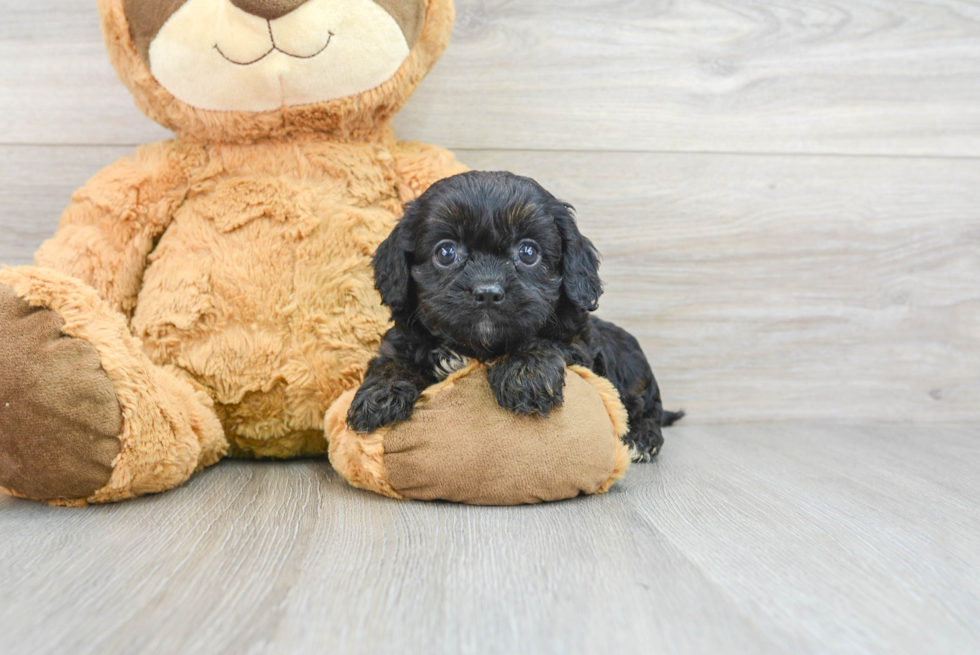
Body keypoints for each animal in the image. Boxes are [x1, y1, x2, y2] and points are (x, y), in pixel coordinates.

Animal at [346, 172, 680, 464]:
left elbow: (544, 341)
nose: (487, 292)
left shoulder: (579, 342)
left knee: (644, 412)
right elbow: (392, 361)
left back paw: (641, 439)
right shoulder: (403, 340)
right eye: (446, 253)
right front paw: (380, 395)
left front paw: (525, 375)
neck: (476, 348)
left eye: (528, 252)